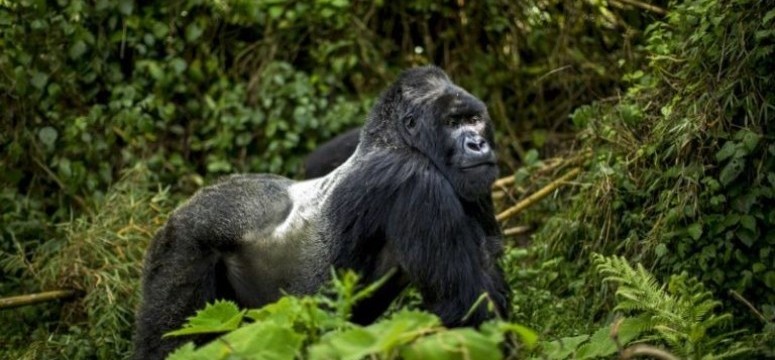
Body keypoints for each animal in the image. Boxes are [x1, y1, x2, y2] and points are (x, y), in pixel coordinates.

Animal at [133, 67, 510, 358]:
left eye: (474, 120)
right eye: (452, 122)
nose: (478, 144)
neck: (395, 139)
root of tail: (181, 208)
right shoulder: (416, 181)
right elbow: (464, 309)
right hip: (182, 244)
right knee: (170, 342)